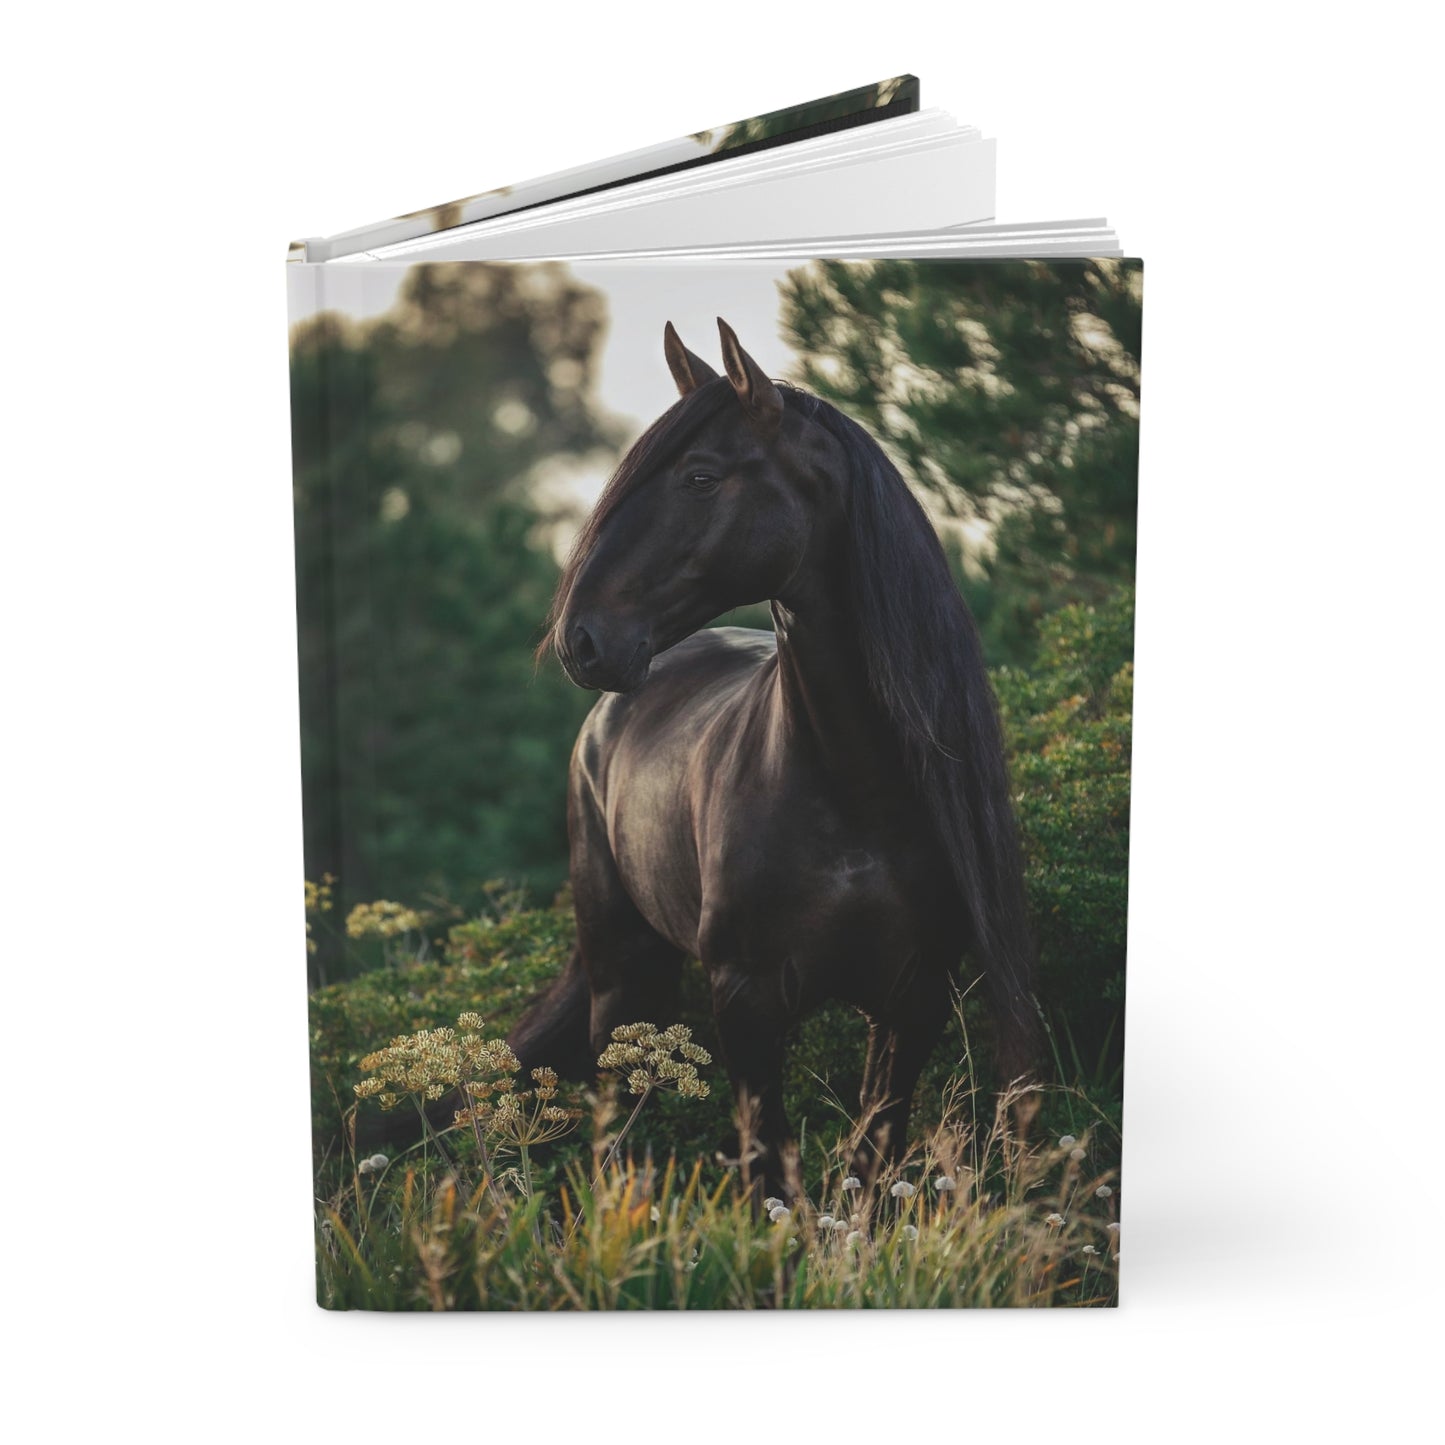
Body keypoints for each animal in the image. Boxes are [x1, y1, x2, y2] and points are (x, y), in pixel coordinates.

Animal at [509, 318, 1038, 1194]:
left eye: (699, 476)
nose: (580, 640)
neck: (854, 789)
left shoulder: (914, 998)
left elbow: (868, 1163)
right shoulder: (746, 1001)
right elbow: (768, 1171)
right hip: (624, 973)